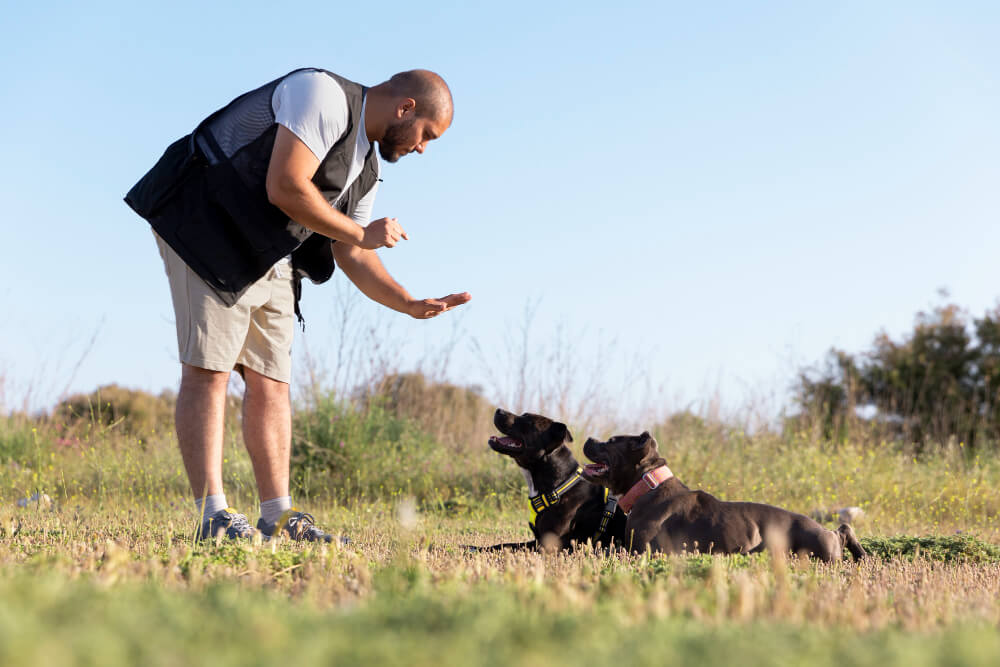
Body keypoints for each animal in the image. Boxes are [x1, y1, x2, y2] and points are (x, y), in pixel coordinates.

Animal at [476, 410, 624, 552]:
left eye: (528, 421)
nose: (498, 410)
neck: (558, 486)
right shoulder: (537, 539)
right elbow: (505, 545)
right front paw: (474, 548)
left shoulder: (549, 546)